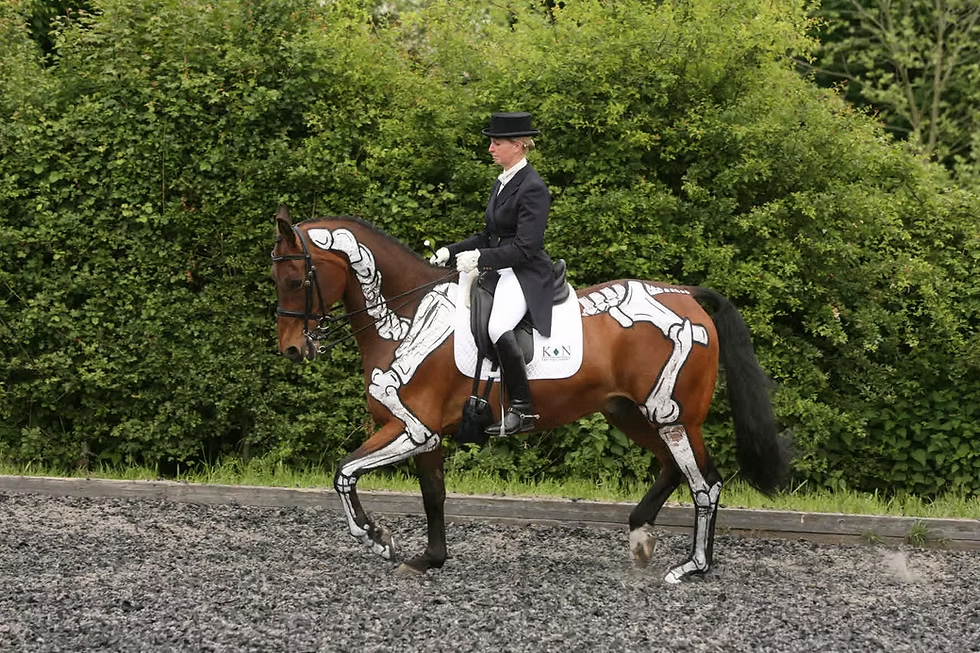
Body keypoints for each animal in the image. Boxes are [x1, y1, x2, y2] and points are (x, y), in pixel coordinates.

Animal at [270, 204, 791, 584]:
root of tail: (686, 296)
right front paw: (430, 558)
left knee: (706, 482)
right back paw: (641, 536)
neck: (405, 317)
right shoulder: (427, 435)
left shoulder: (412, 429)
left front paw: (377, 536)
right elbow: (433, 494)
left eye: (296, 280)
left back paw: (693, 567)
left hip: (673, 414)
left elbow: (344, 472)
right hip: (629, 412)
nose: (293, 349)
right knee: (672, 467)